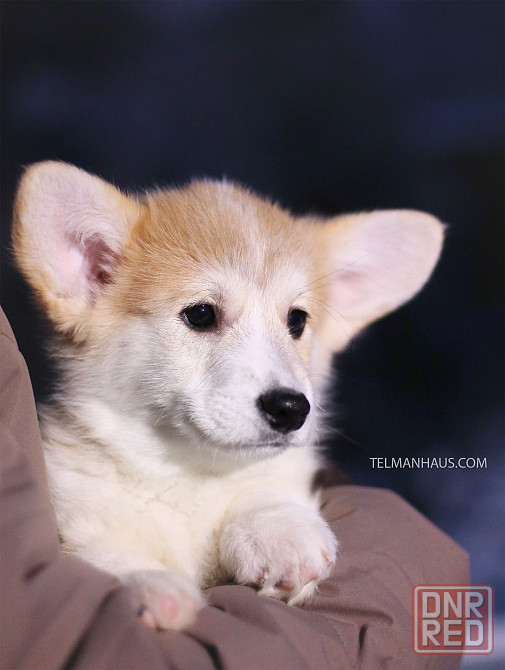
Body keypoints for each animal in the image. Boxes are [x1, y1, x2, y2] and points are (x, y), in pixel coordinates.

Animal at [12, 161, 444, 630]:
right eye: (201, 314)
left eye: (297, 320)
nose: (291, 409)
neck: (185, 473)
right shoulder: (77, 521)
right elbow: (102, 557)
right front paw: (153, 588)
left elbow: (262, 491)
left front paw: (281, 535)